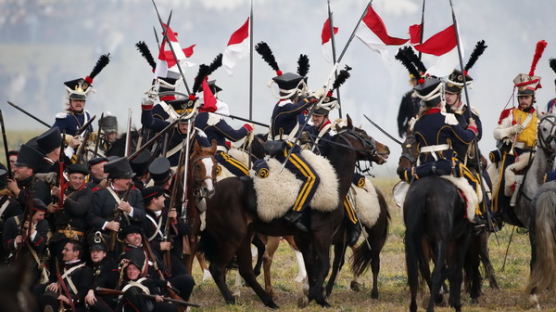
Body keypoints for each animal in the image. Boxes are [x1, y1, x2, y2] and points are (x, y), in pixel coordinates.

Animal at [200, 116, 386, 308]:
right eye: (363, 134)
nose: (385, 150)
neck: (336, 181)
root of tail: (211, 194)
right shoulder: (322, 234)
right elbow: (323, 266)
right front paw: (317, 297)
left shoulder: (305, 238)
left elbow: (313, 267)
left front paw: (310, 296)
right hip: (233, 237)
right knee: (218, 268)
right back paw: (234, 298)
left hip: (245, 236)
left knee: (245, 270)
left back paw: (268, 301)